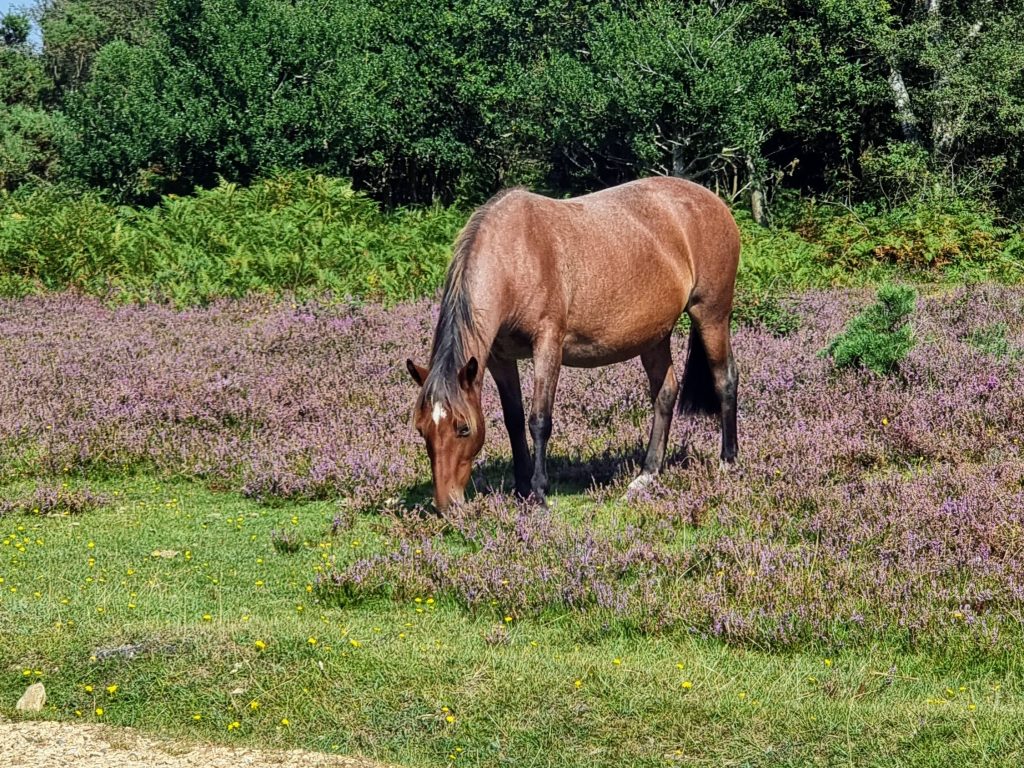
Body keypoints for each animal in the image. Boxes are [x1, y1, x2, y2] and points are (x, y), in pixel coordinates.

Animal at [406, 176, 740, 512]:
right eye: (421, 429)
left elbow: (539, 420)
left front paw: (539, 493)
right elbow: (514, 420)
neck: (515, 255)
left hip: (711, 315)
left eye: (463, 428)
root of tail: (712, 201)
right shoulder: (500, 358)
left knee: (725, 379)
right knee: (666, 393)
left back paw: (727, 463)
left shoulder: (548, 345)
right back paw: (646, 475)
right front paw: (521, 489)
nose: (447, 505)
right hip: (654, 336)